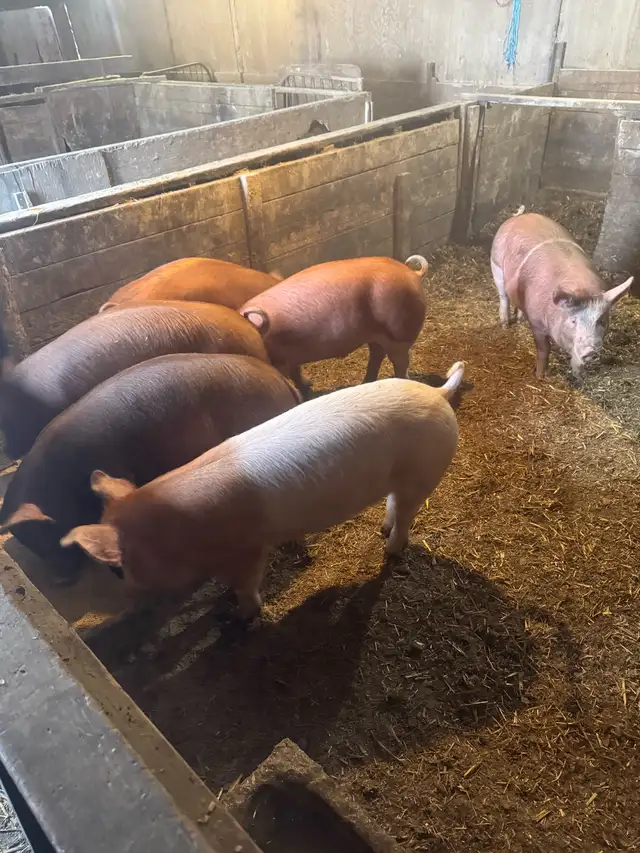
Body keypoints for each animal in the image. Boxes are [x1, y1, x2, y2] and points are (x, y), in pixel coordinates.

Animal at [61, 362, 465, 617]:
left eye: (117, 569)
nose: (114, 608)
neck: (176, 532)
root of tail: (438, 393)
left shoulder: (246, 550)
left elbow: (247, 586)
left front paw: (240, 616)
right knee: (395, 504)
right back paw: (382, 530)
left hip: (424, 469)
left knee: (407, 515)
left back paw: (389, 548)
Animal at [239, 255, 429, 394]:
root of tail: (411, 273)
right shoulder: (288, 356)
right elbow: (296, 372)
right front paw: (308, 387)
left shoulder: (281, 360)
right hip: (376, 335)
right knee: (377, 355)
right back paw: (365, 383)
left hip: (399, 333)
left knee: (400, 362)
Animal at [491, 211, 633, 379]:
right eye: (573, 321)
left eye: (601, 321)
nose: (591, 351)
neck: (583, 288)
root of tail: (520, 216)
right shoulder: (537, 324)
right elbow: (543, 350)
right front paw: (540, 377)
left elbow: (576, 360)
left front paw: (578, 377)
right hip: (496, 266)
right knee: (503, 296)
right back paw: (505, 325)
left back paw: (520, 320)